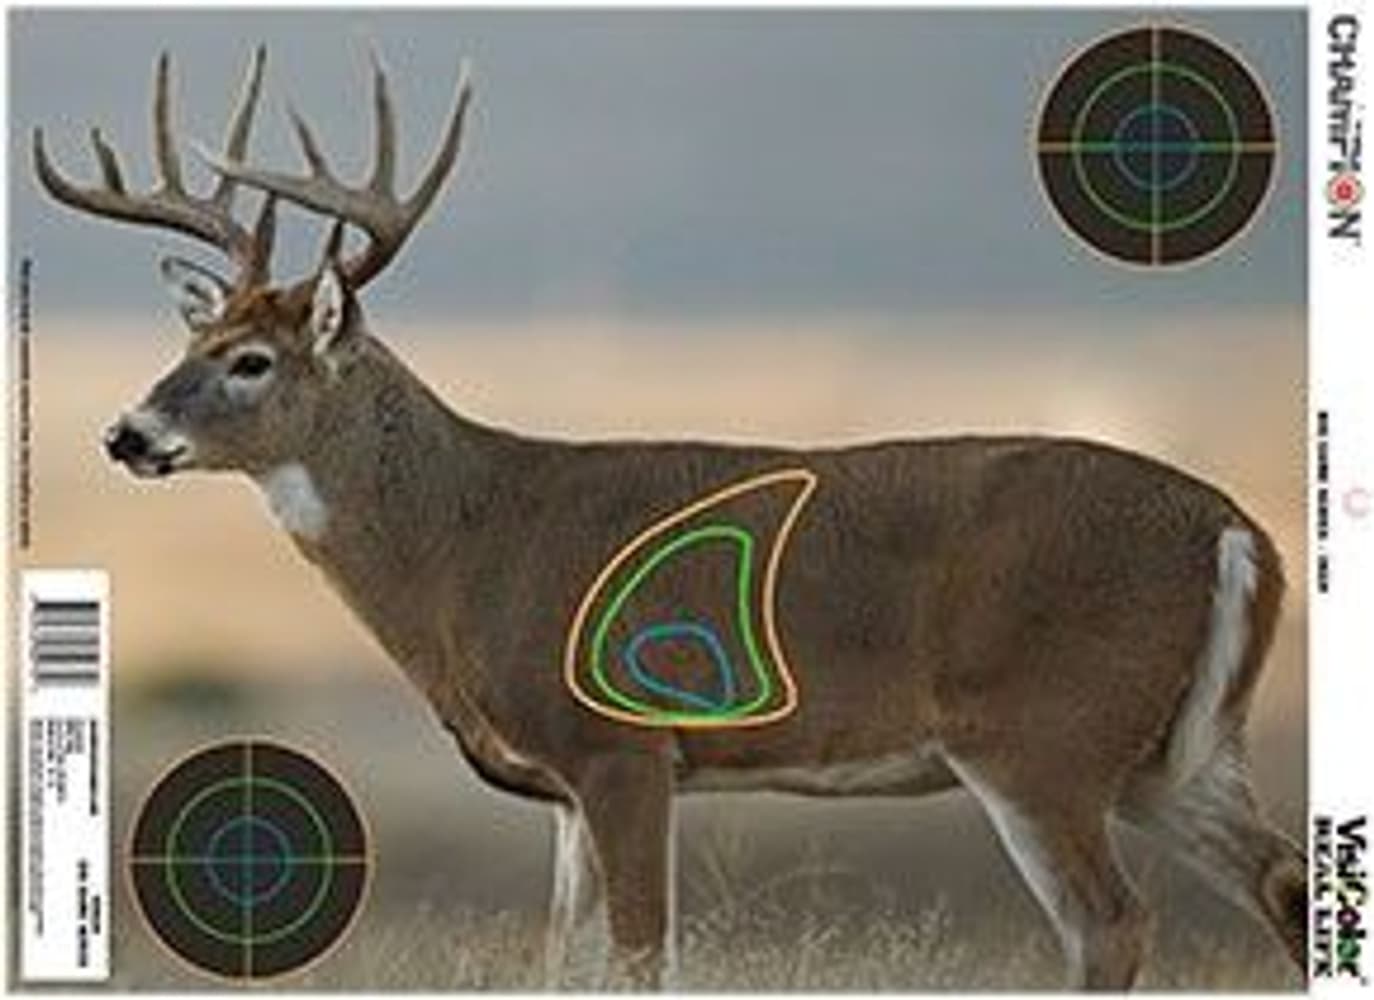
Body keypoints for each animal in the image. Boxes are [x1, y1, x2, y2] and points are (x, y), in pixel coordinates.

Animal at [34, 46, 1307, 990]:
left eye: (250, 360)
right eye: (195, 340)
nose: (125, 434)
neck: (470, 545)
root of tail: (1237, 528)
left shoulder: (624, 743)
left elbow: (643, 957)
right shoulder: (563, 786)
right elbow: (564, 961)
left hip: (1040, 734)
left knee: (1111, 921)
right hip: (1170, 752)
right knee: (1287, 880)